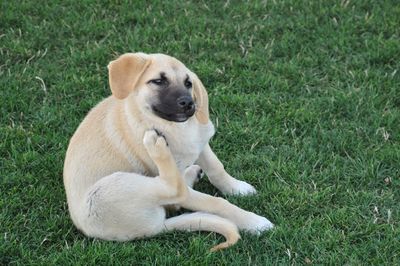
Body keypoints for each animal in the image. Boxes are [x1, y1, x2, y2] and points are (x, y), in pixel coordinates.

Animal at [63, 52, 276, 251]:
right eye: (158, 81)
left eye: (188, 83)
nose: (188, 103)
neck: (174, 128)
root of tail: (156, 228)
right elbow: (217, 203)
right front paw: (254, 222)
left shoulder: (201, 144)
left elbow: (217, 169)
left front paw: (237, 188)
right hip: (110, 189)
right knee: (175, 189)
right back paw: (156, 146)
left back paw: (193, 173)